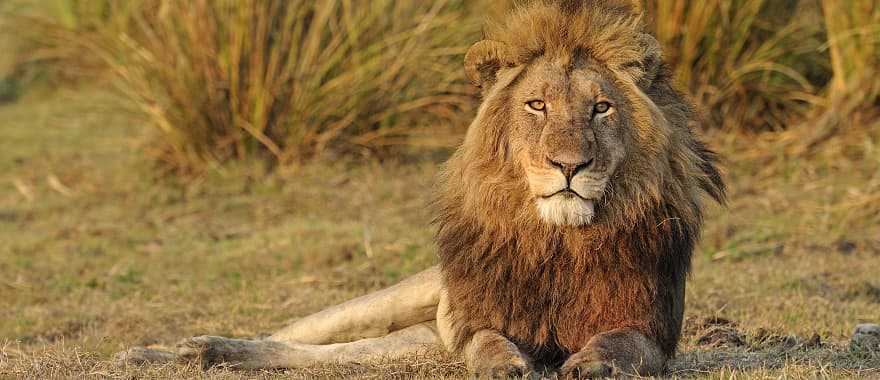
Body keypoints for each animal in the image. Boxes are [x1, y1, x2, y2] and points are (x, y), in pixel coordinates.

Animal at [115, 1, 720, 378]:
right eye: (537, 105)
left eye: (601, 107)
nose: (569, 165)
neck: (559, 241)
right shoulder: (477, 318)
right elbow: (486, 341)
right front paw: (504, 364)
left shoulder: (648, 323)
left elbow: (619, 342)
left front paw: (593, 362)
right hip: (395, 301)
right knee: (285, 332)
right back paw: (167, 351)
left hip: (410, 339)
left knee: (332, 354)